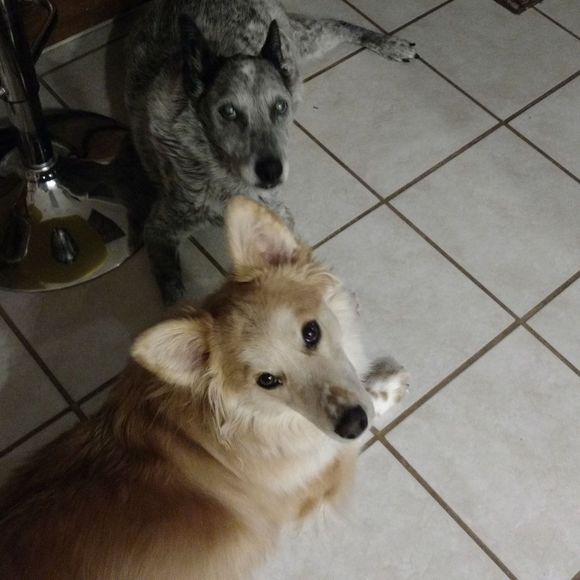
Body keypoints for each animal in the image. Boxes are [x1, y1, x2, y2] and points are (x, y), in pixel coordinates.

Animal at [0, 197, 409, 579]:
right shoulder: (316, 480)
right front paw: (386, 385)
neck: (257, 419)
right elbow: (348, 433)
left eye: (312, 332)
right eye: (267, 381)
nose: (352, 423)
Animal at [125, 0, 416, 304]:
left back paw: (389, 43)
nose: (271, 171)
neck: (222, 171)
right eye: (228, 111)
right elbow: (175, 293)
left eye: (280, 106)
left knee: (336, 24)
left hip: (297, 40)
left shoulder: (279, 215)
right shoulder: (159, 230)